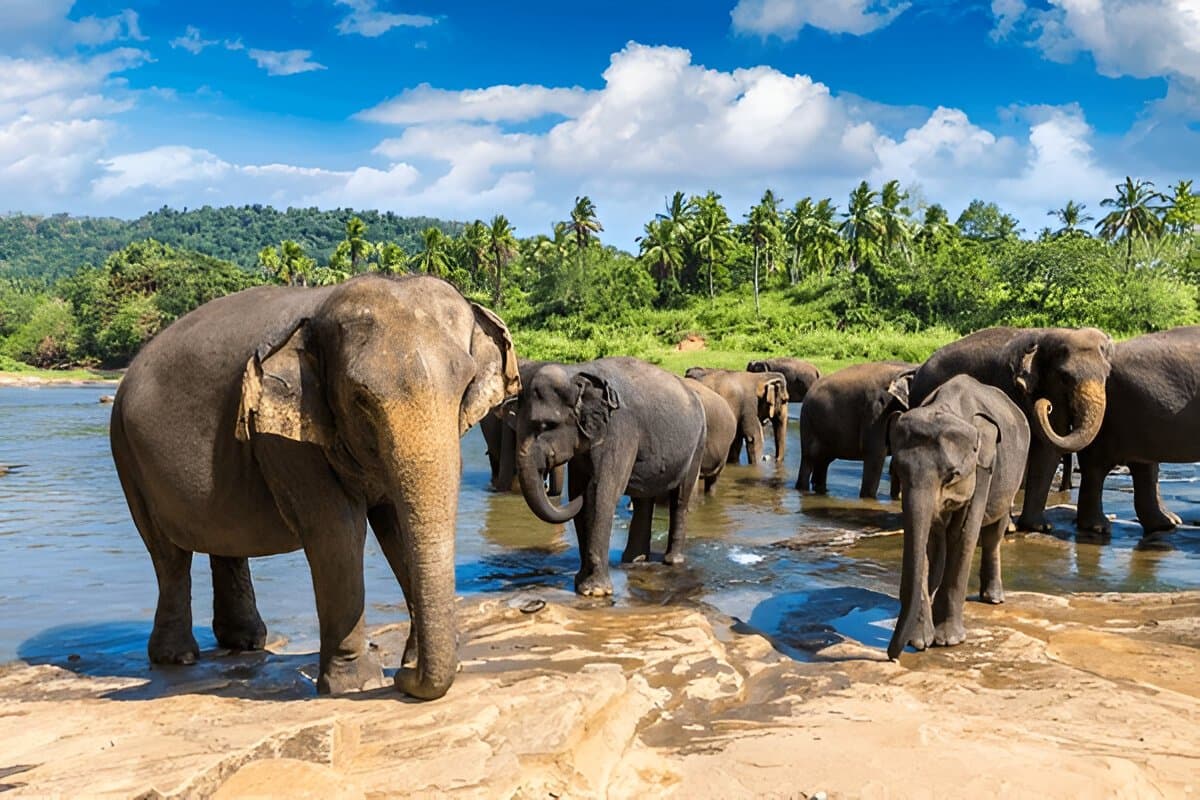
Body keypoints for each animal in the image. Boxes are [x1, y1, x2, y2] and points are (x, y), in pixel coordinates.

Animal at [109, 274, 519, 700]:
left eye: (466, 385)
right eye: (360, 398)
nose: (404, 679)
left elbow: (396, 527)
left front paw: (410, 665)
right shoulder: (285, 435)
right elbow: (337, 530)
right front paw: (359, 684)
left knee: (223, 541)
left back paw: (245, 642)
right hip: (126, 452)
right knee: (168, 554)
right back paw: (179, 658)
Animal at [515, 357, 706, 596]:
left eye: (547, 425)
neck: (576, 372)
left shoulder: (619, 428)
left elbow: (600, 493)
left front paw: (595, 591)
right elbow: (579, 490)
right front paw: (581, 584)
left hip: (698, 442)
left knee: (680, 498)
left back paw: (672, 561)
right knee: (644, 500)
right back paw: (634, 561)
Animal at [795, 361, 915, 498]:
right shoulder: (876, 413)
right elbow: (875, 454)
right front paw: (868, 499)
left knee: (823, 462)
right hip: (808, 422)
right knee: (808, 459)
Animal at [887, 375, 1030, 659]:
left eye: (953, 475)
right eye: (897, 469)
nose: (891, 655)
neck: (947, 407)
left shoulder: (984, 468)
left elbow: (964, 535)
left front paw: (948, 640)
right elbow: (926, 538)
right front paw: (919, 641)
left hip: (1012, 476)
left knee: (993, 535)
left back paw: (993, 598)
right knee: (939, 542)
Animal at [909, 327, 1113, 532]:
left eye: (1107, 376)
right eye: (1064, 377)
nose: (1046, 405)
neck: (1045, 335)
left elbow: (1049, 449)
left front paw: (1039, 526)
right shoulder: (1008, 385)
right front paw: (1010, 528)